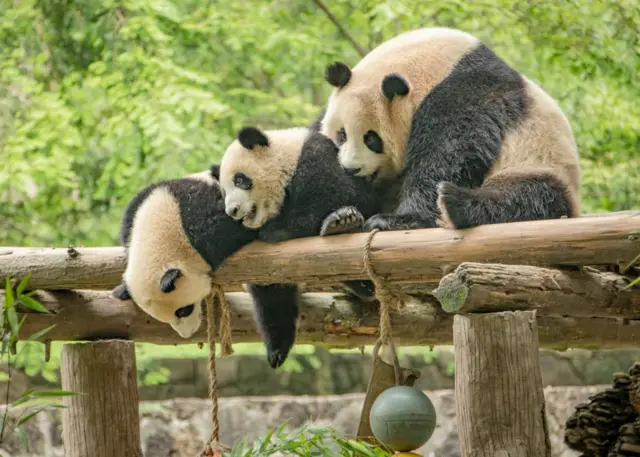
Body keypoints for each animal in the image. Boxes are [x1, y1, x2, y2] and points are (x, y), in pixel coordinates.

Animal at [219, 125, 382, 368]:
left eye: (239, 179)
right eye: (224, 192)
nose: (232, 211)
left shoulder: (313, 158)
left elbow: (337, 193)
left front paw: (277, 229)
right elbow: (272, 295)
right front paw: (277, 350)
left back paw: (342, 223)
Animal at [319, 27, 581, 232]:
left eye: (372, 139)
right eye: (341, 134)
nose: (351, 169)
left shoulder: (467, 93)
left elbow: (449, 152)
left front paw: (395, 219)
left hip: (540, 162)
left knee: (528, 197)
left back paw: (454, 202)